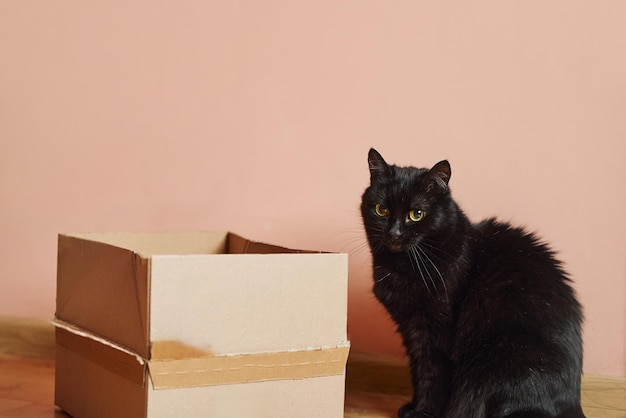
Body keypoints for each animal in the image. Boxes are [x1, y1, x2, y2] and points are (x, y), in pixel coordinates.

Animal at [358, 149, 584, 418]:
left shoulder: (434, 329)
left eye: (416, 214)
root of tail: (573, 403)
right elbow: (416, 368)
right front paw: (412, 407)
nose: (394, 234)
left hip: (496, 362)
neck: (402, 266)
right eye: (381, 210)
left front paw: (423, 412)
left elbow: (430, 372)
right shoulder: (410, 328)